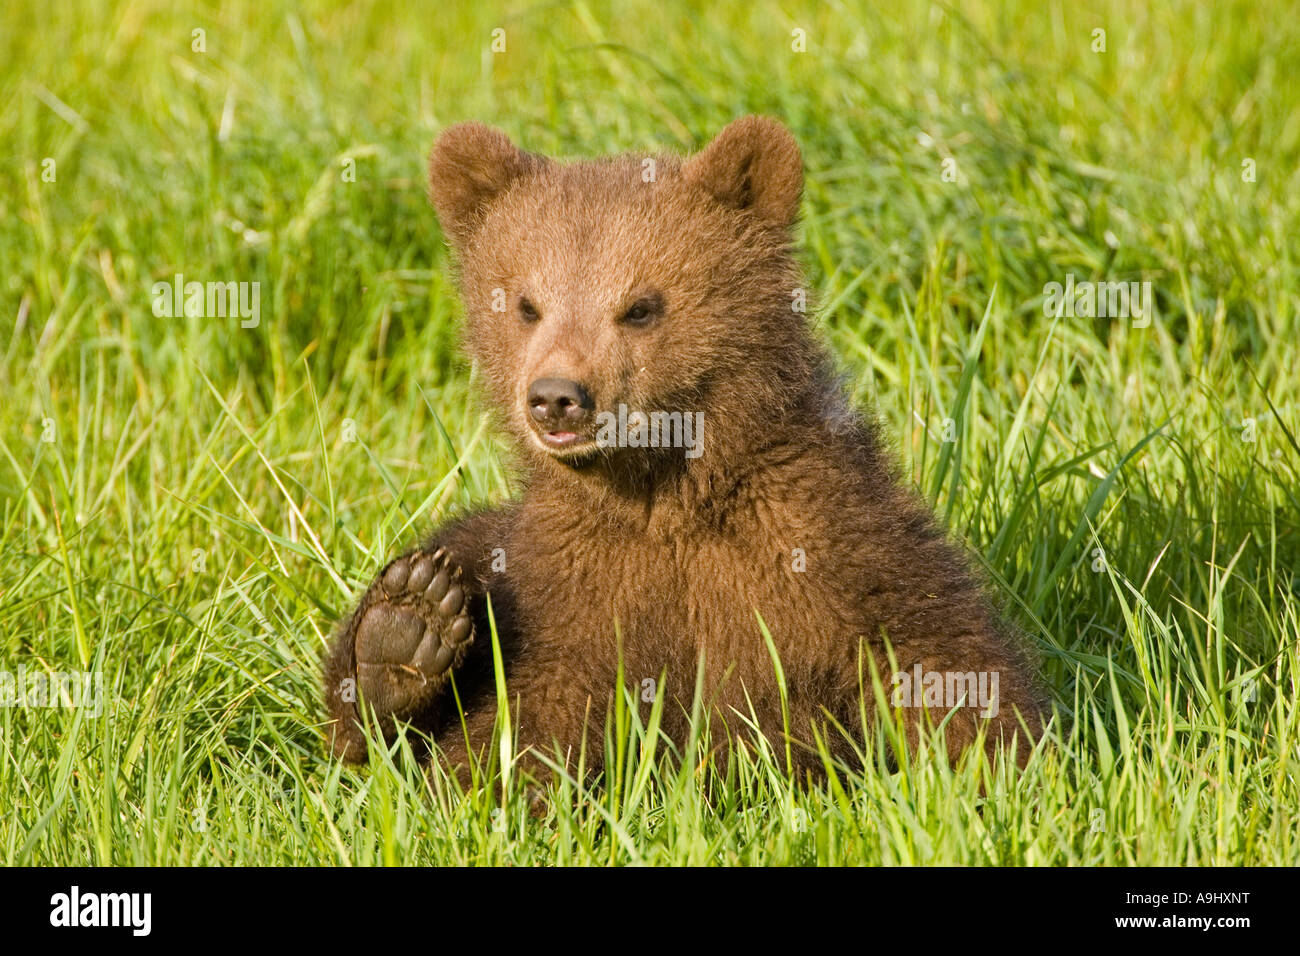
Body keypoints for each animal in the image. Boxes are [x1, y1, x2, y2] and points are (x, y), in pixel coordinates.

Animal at [322, 115, 1047, 785]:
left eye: (641, 305)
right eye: (526, 304)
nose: (557, 397)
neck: (663, 495)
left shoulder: (830, 540)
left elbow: (936, 656)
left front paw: (995, 773)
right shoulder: (561, 586)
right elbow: (524, 723)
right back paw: (402, 630)